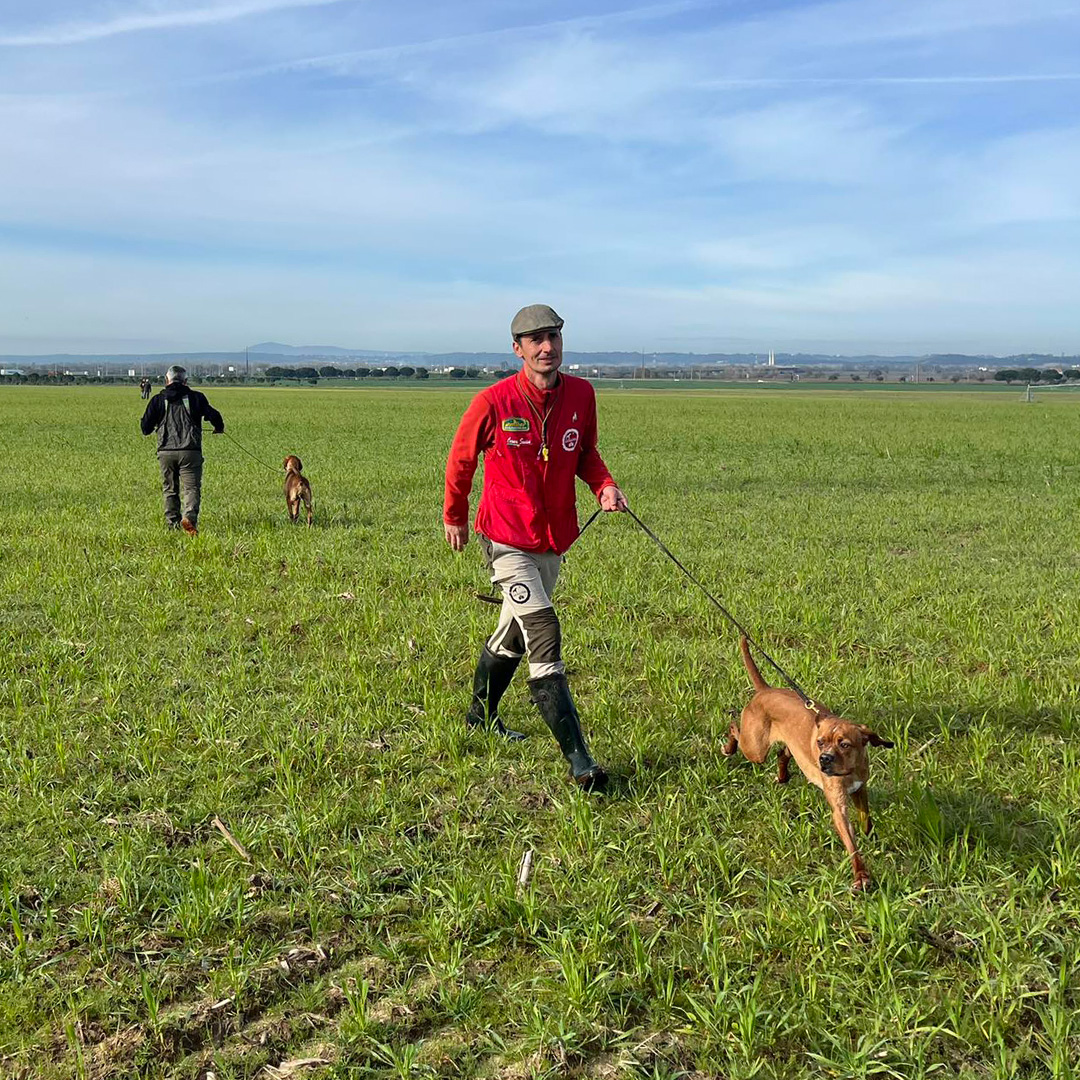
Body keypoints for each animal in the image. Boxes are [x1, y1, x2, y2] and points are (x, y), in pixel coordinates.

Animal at [725, 635, 894, 889]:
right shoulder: (839, 809)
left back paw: (783, 776)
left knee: (782, 754)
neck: (849, 770)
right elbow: (852, 845)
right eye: (820, 743)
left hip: (779, 748)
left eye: (845, 744)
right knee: (734, 728)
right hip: (754, 749)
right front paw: (861, 875)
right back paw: (728, 747)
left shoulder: (860, 789)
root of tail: (765, 691)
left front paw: (869, 835)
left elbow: (866, 818)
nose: (824, 758)